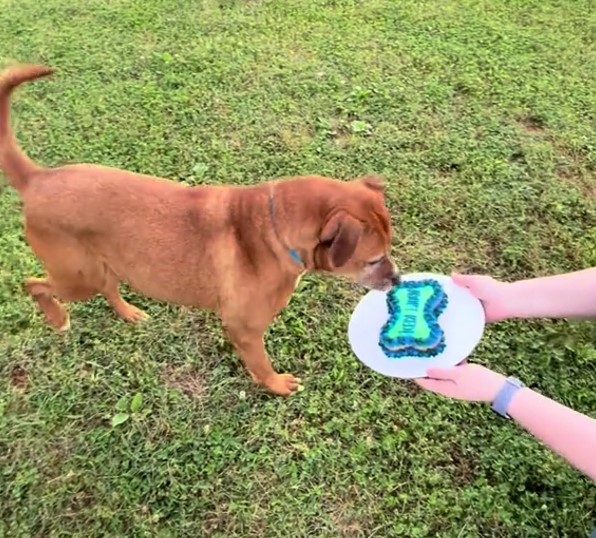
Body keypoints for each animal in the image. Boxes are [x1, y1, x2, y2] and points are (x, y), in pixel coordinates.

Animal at [1, 66, 400, 394]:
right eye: (373, 259)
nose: (397, 279)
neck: (274, 228)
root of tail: (38, 178)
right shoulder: (245, 329)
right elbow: (261, 365)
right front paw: (275, 385)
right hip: (76, 278)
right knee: (34, 284)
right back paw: (57, 317)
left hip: (101, 266)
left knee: (107, 287)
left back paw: (128, 313)